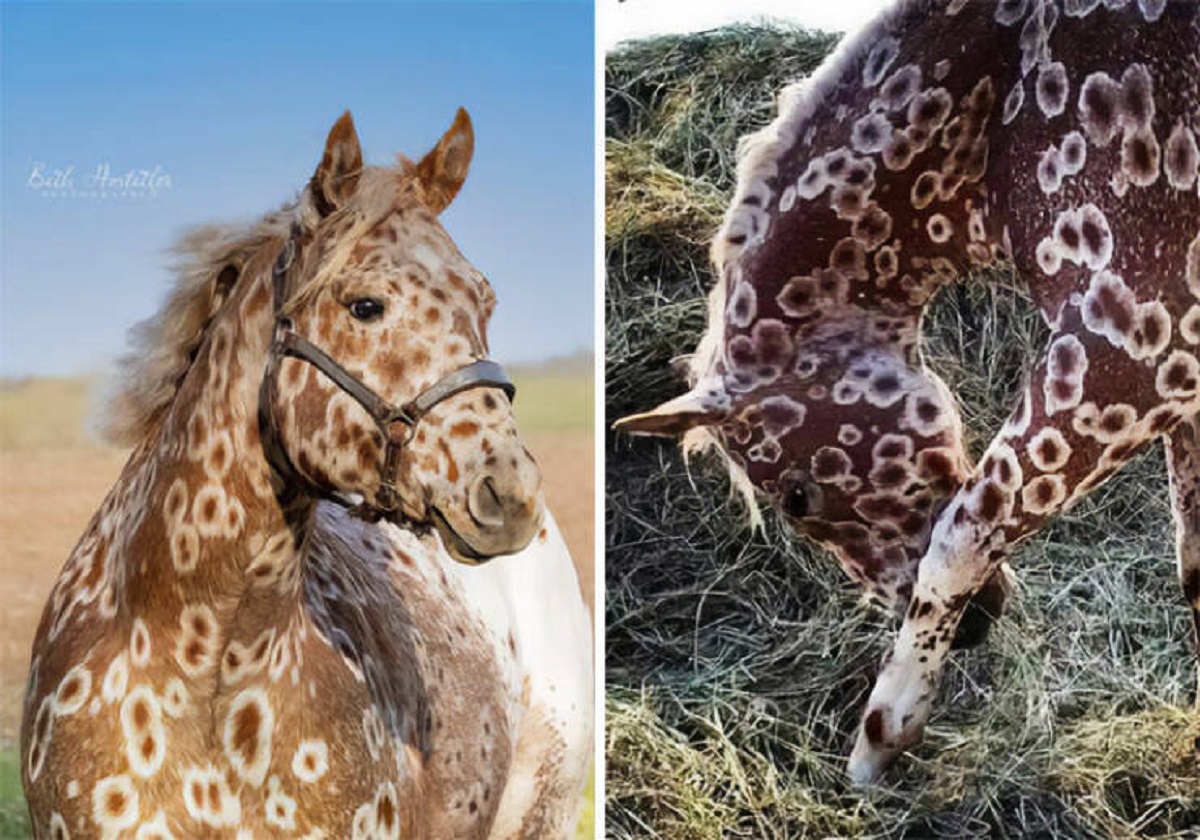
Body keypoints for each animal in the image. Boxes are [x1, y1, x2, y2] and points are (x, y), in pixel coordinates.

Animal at [619, 0, 1200, 787]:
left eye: (797, 497)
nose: (978, 626)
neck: (1006, 102)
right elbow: (1194, 567)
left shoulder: (1132, 353)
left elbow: (960, 534)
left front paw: (882, 736)